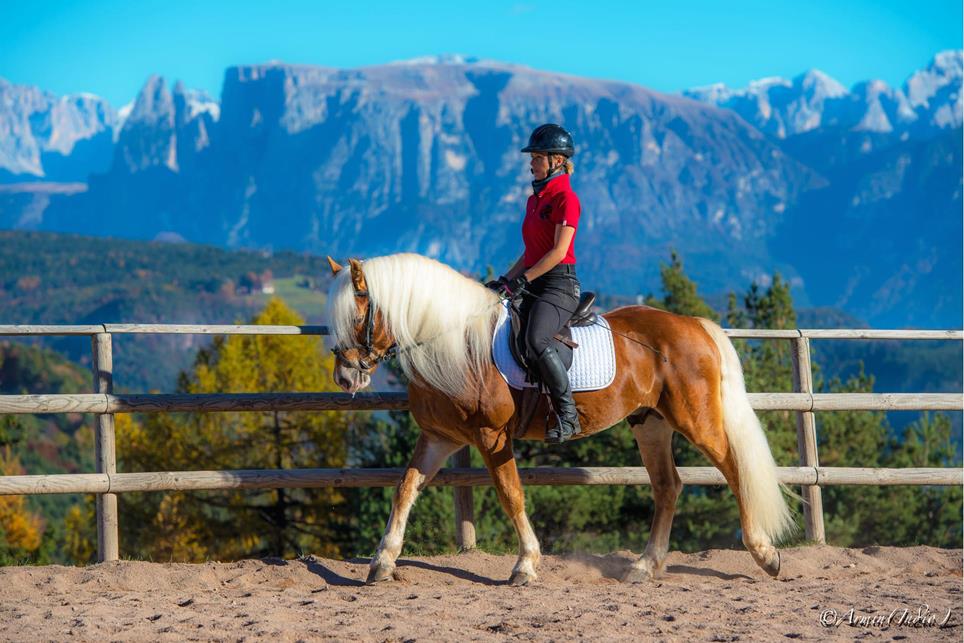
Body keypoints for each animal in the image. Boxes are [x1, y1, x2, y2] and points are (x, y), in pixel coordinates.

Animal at [328, 254, 796, 588]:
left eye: (357, 314)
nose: (346, 377)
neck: (454, 343)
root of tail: (691, 324)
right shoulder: (439, 436)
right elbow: (404, 489)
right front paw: (382, 561)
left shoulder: (491, 435)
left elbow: (511, 495)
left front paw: (525, 565)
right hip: (650, 423)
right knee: (668, 486)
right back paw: (644, 567)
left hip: (695, 419)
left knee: (734, 470)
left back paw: (765, 555)